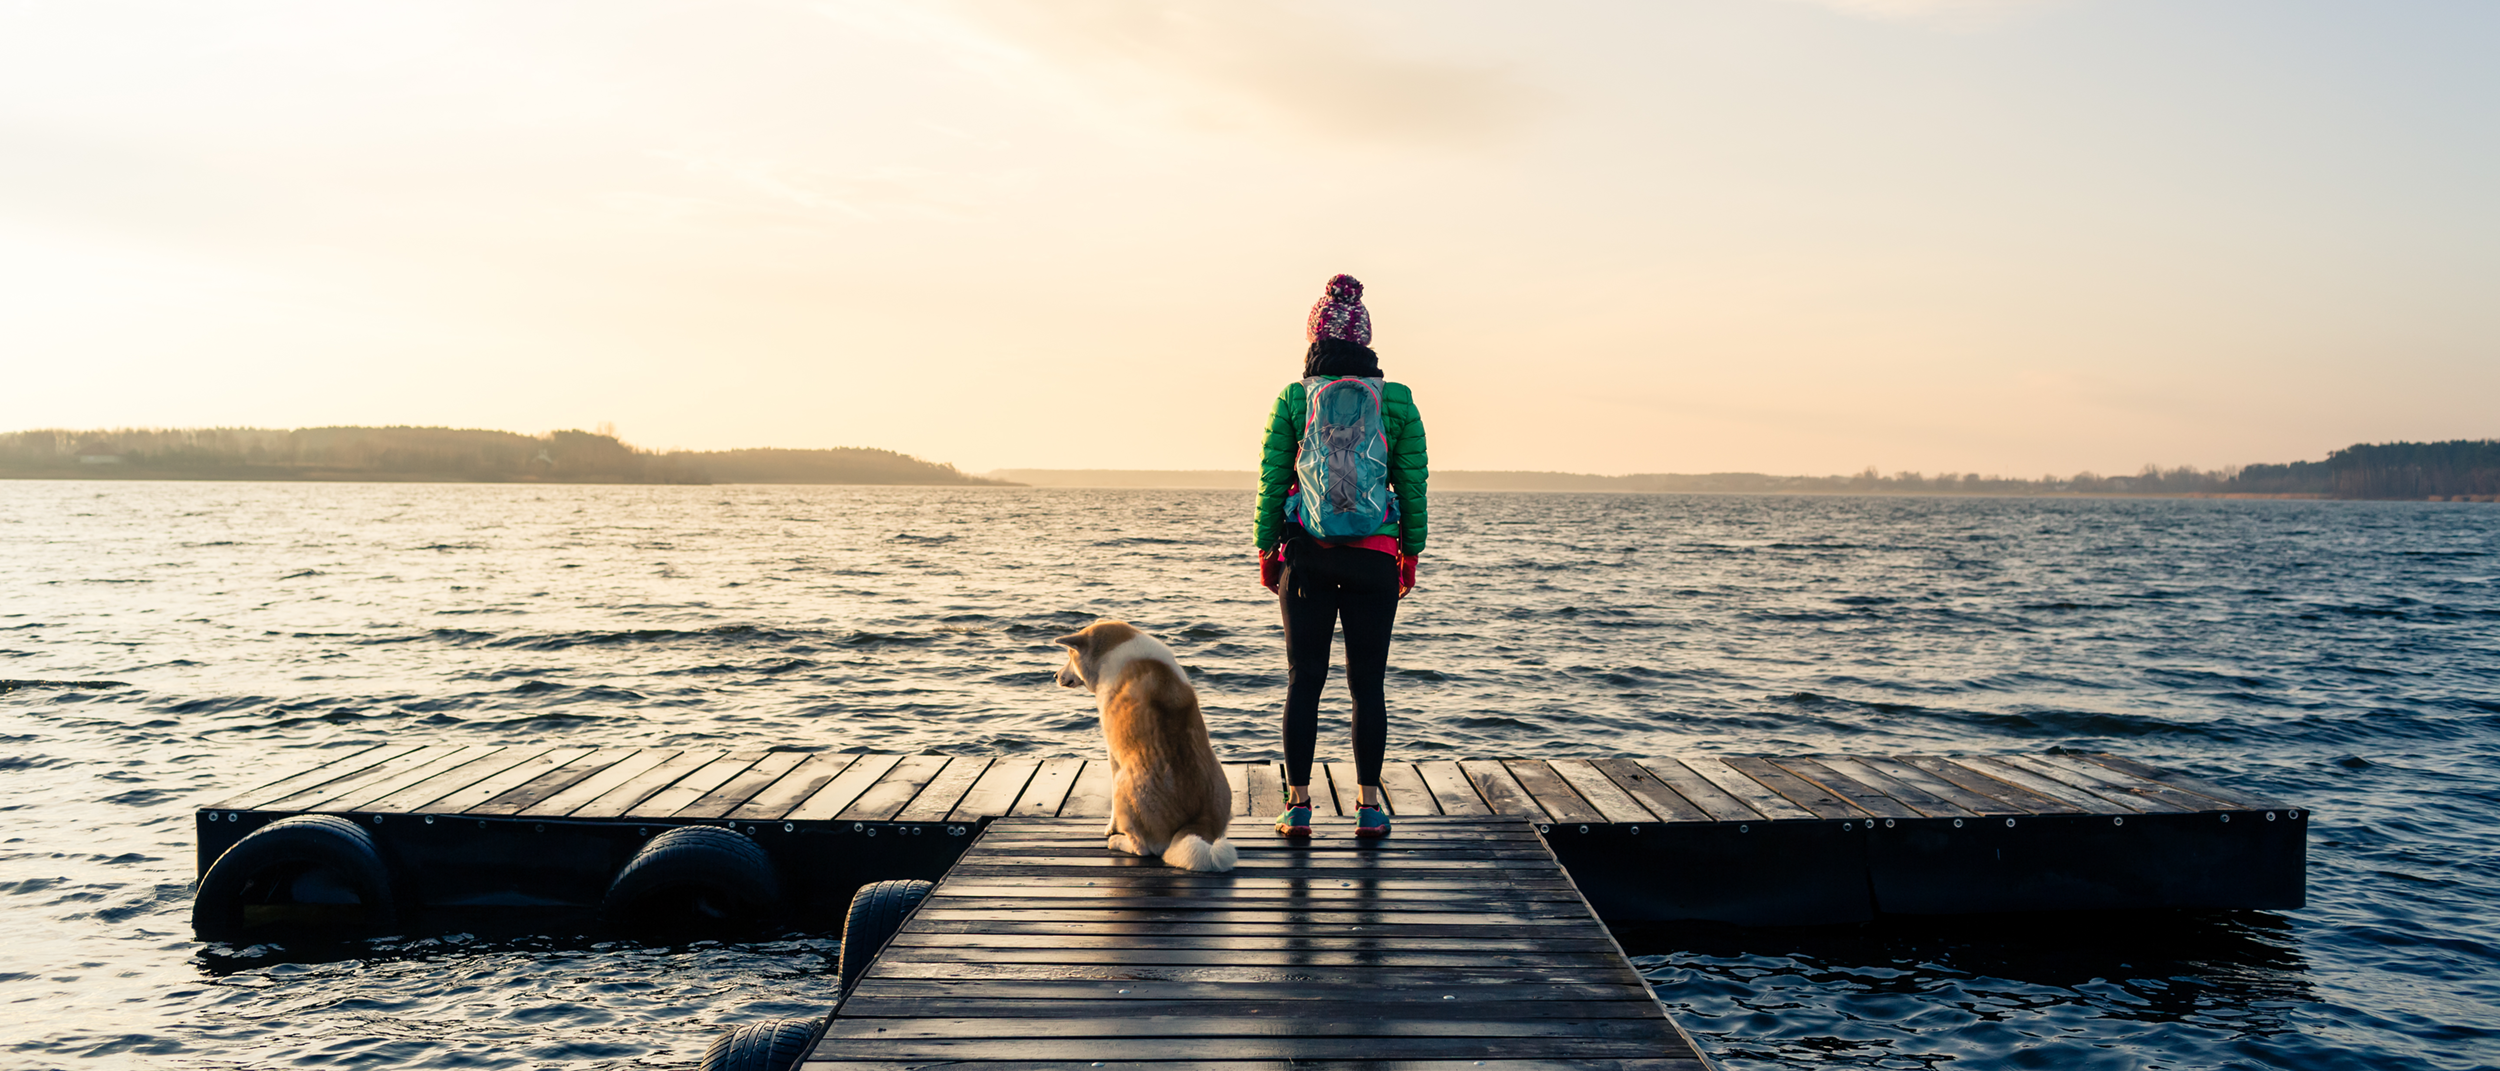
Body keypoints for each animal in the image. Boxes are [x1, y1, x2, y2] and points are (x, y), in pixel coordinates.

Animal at [1050, 618, 1235, 870]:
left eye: (1070, 656)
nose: (1055, 675)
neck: (1115, 648)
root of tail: (1197, 823)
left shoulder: (1113, 755)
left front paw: (1110, 829)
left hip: (1123, 785)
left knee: (1142, 849)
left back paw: (1118, 842)